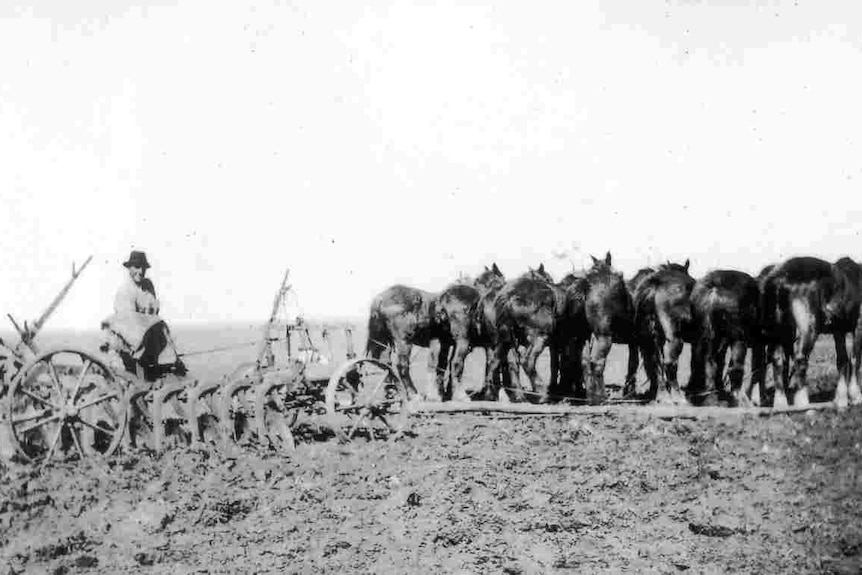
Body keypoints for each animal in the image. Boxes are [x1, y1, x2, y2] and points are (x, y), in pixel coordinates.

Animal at [632, 260, 700, 404]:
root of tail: (657, 283)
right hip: (674, 338)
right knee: (669, 363)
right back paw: (679, 398)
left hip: (650, 340)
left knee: (655, 364)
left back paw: (662, 396)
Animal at [688, 272, 764, 408]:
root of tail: (714, 292)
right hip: (736, 330)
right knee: (735, 360)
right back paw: (738, 398)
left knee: (705, 357)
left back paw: (709, 396)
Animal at [764, 256, 862, 410]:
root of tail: (779, 278)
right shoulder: (858, 326)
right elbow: (855, 360)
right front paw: (855, 396)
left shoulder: (838, 331)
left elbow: (842, 360)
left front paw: (840, 399)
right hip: (808, 329)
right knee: (800, 358)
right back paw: (802, 403)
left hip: (782, 331)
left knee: (778, 360)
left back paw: (781, 405)